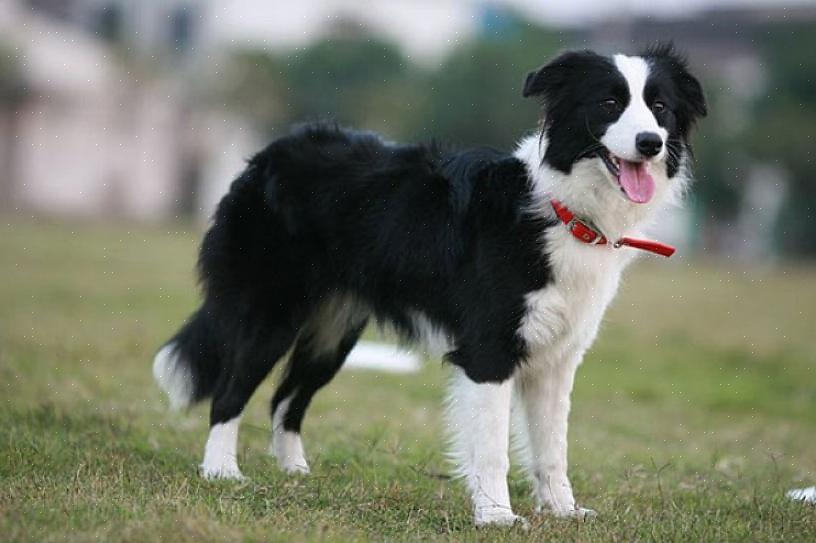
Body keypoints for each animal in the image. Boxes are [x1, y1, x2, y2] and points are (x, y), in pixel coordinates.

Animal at [155, 43, 708, 528]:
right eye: (609, 103)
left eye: (659, 107)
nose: (650, 143)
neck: (565, 209)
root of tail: (270, 152)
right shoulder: (488, 351)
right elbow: (492, 448)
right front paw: (496, 516)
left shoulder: (556, 359)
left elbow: (553, 448)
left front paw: (563, 511)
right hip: (271, 310)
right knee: (230, 393)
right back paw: (221, 472)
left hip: (334, 331)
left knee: (286, 400)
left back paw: (295, 474)